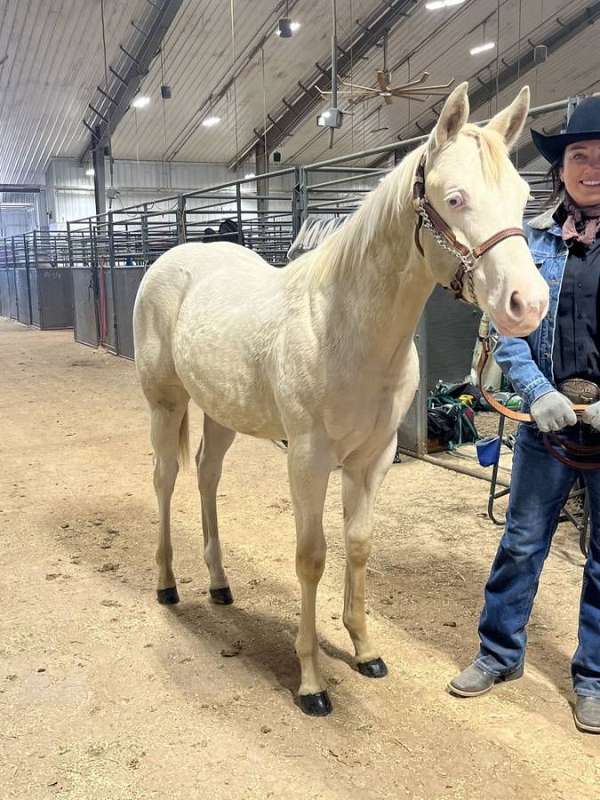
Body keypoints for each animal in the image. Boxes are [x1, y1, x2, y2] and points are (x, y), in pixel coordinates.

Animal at [133, 83, 549, 716]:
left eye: (525, 195)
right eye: (455, 198)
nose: (528, 303)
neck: (346, 326)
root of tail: (171, 260)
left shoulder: (372, 459)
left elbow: (357, 546)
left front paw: (365, 649)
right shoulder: (308, 459)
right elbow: (312, 557)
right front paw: (310, 681)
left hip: (222, 411)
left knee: (206, 476)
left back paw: (220, 585)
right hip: (166, 404)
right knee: (165, 480)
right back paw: (167, 585)